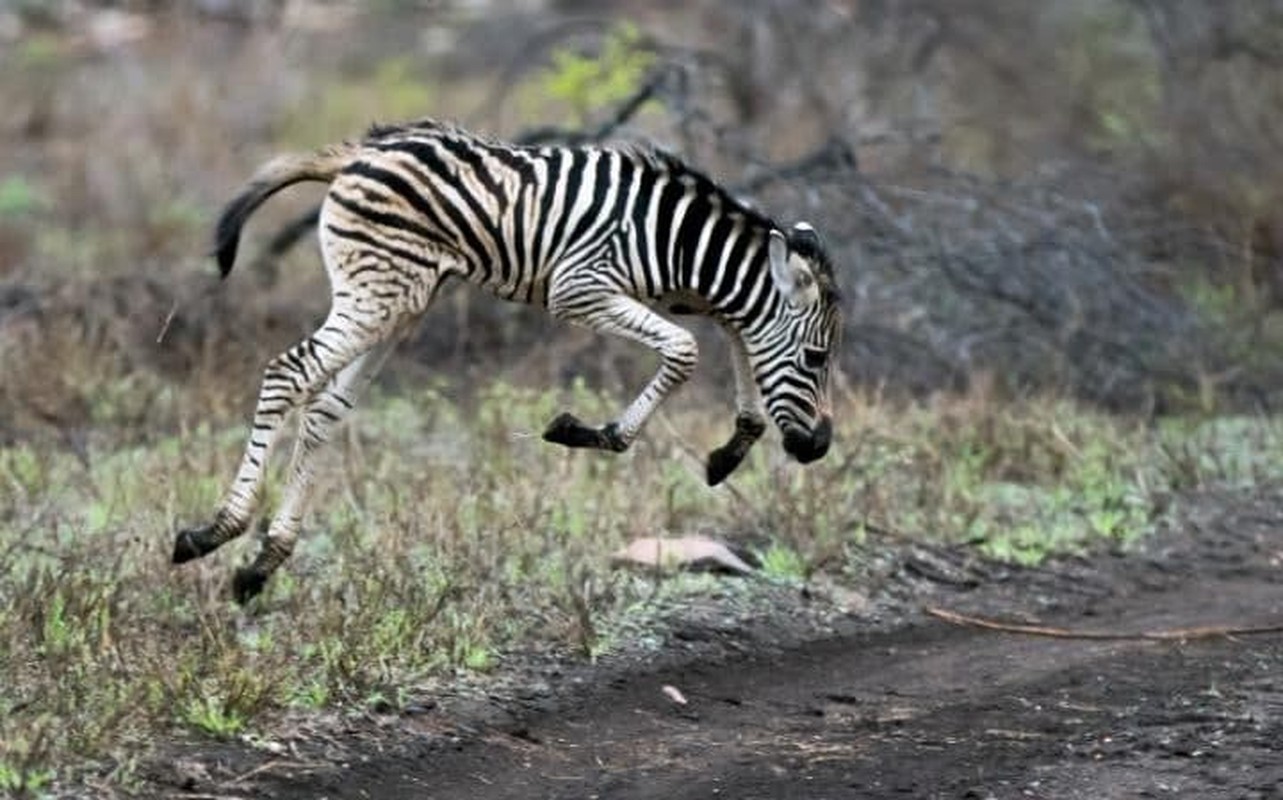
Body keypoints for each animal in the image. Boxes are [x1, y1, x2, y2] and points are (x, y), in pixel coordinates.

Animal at [173, 120, 841, 600]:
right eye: (816, 358)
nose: (817, 448)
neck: (675, 239)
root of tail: (363, 150)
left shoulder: (692, 296)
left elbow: (739, 332)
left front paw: (732, 448)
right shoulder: (581, 286)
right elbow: (686, 348)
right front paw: (590, 432)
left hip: (399, 302)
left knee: (324, 407)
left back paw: (261, 565)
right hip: (378, 292)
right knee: (289, 373)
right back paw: (213, 532)